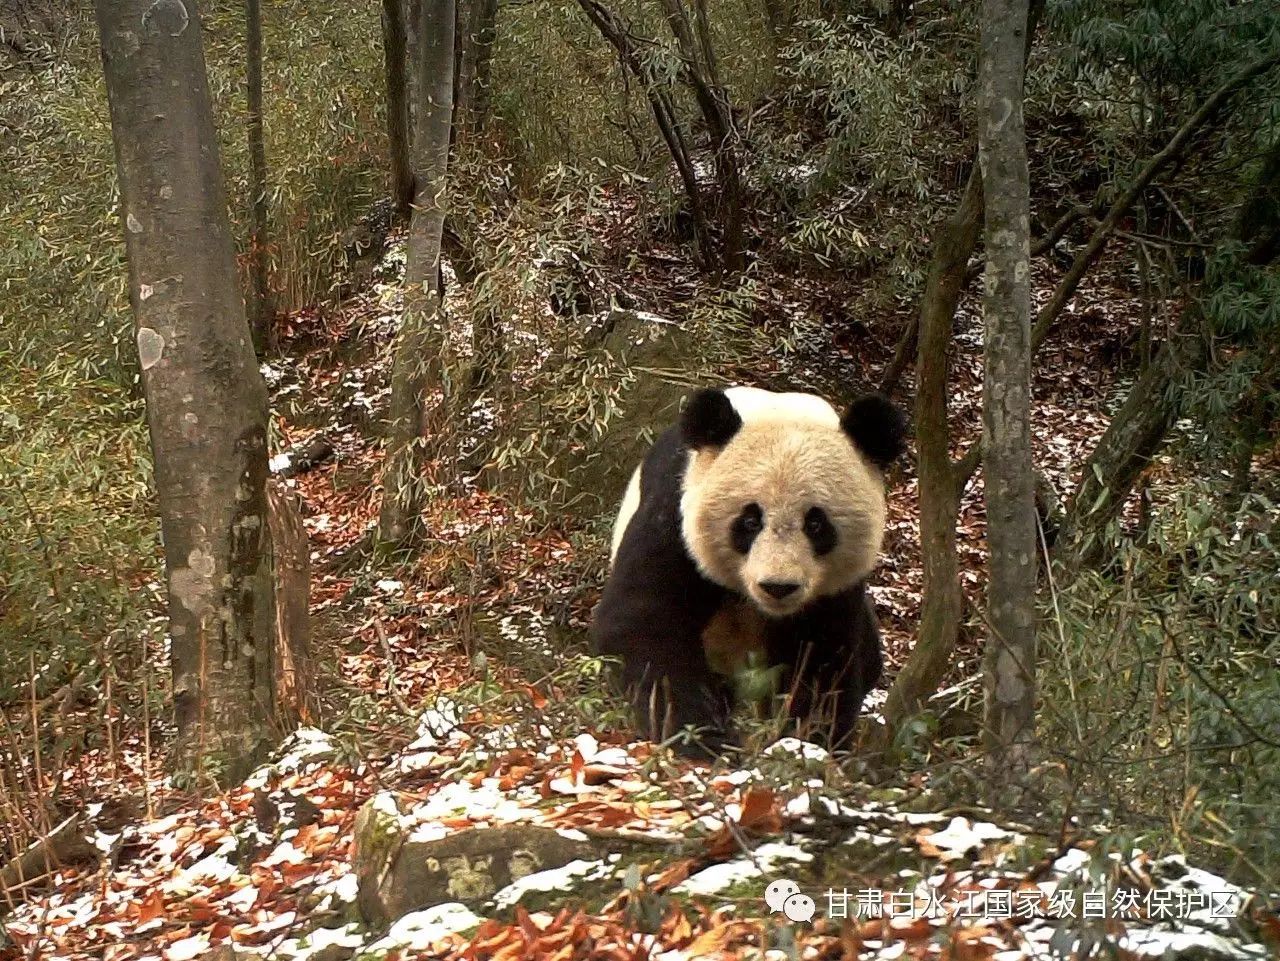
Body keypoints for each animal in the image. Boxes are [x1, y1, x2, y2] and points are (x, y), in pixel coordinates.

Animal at [591, 386, 906, 757]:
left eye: (816, 524)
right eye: (750, 521)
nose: (778, 587)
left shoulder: (835, 588)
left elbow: (824, 655)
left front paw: (807, 740)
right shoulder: (673, 509)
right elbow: (644, 620)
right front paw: (704, 737)